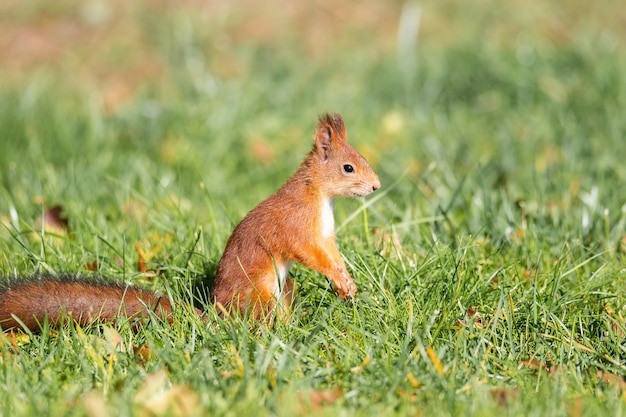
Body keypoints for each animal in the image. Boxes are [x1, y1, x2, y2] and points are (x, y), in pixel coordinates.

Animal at [0, 112, 380, 330]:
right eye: (348, 167)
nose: (376, 186)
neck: (319, 196)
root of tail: (218, 314)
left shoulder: (325, 234)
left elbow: (331, 252)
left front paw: (346, 280)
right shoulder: (296, 226)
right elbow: (309, 253)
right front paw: (339, 279)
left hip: (283, 289)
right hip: (260, 295)